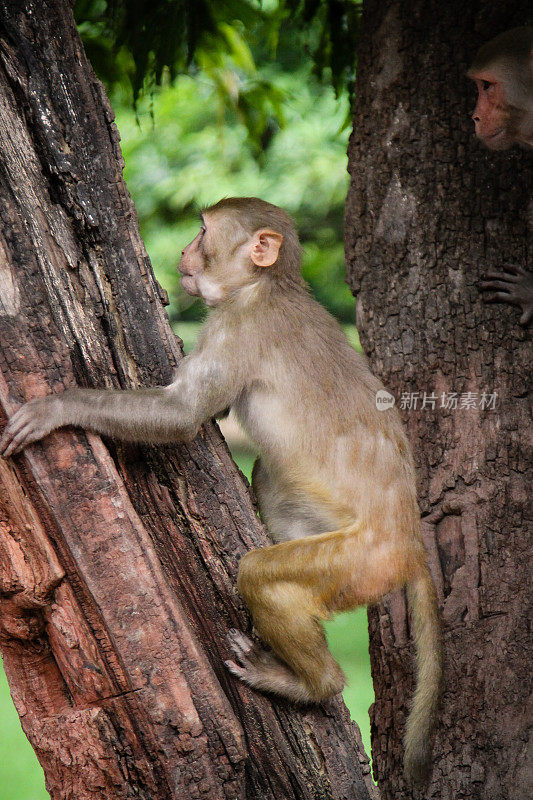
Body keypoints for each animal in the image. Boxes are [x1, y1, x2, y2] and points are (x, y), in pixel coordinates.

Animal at [0, 197, 440, 784]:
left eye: (203, 232)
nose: (185, 254)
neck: (266, 284)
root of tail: (410, 539)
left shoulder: (236, 326)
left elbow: (181, 414)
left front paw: (59, 407)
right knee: (273, 481)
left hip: (363, 561)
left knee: (263, 574)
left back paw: (310, 684)